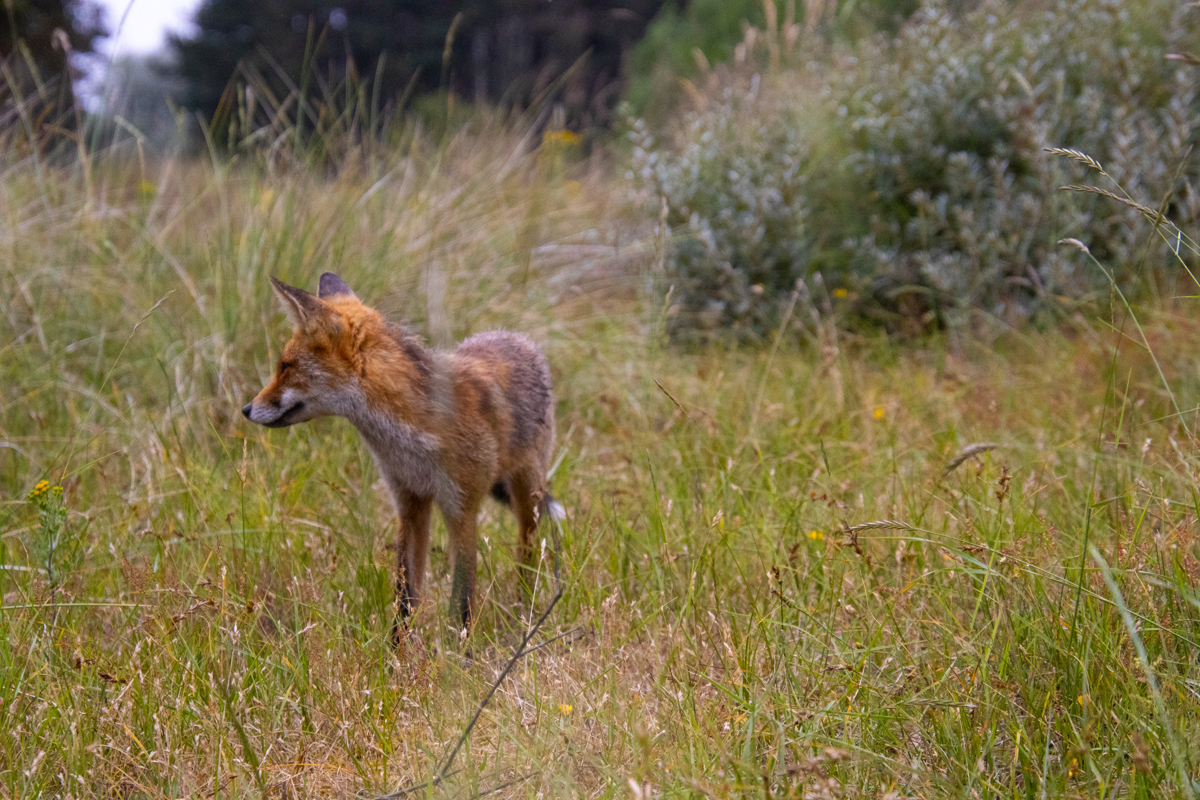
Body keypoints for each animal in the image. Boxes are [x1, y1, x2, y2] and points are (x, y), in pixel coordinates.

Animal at [242, 272, 562, 641]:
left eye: (284, 366)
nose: (246, 409)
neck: (411, 438)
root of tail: (514, 336)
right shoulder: (409, 501)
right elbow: (405, 596)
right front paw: (397, 652)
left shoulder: (461, 507)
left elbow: (462, 599)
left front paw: (459, 653)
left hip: (529, 494)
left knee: (528, 552)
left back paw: (524, 609)